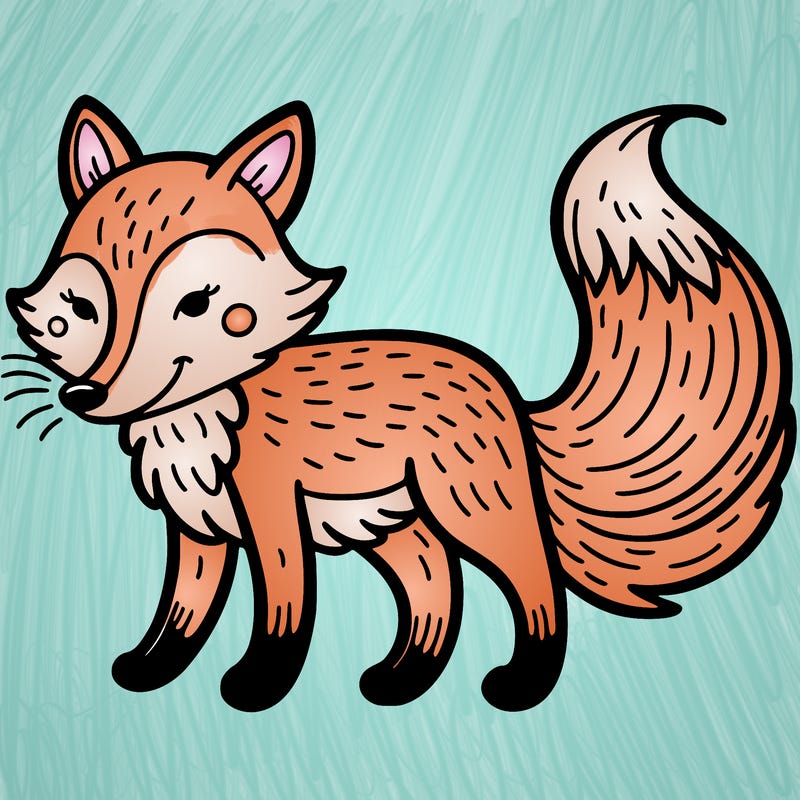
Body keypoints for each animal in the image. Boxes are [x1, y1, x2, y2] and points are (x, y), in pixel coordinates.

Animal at [5, 96, 794, 712]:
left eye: (195, 303)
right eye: (81, 308)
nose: (88, 393)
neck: (195, 423)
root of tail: (503, 385)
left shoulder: (271, 518)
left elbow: (281, 612)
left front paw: (257, 687)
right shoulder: (196, 529)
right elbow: (182, 615)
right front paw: (147, 672)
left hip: (471, 508)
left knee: (534, 586)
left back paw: (520, 686)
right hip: (395, 524)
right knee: (436, 587)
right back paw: (402, 679)